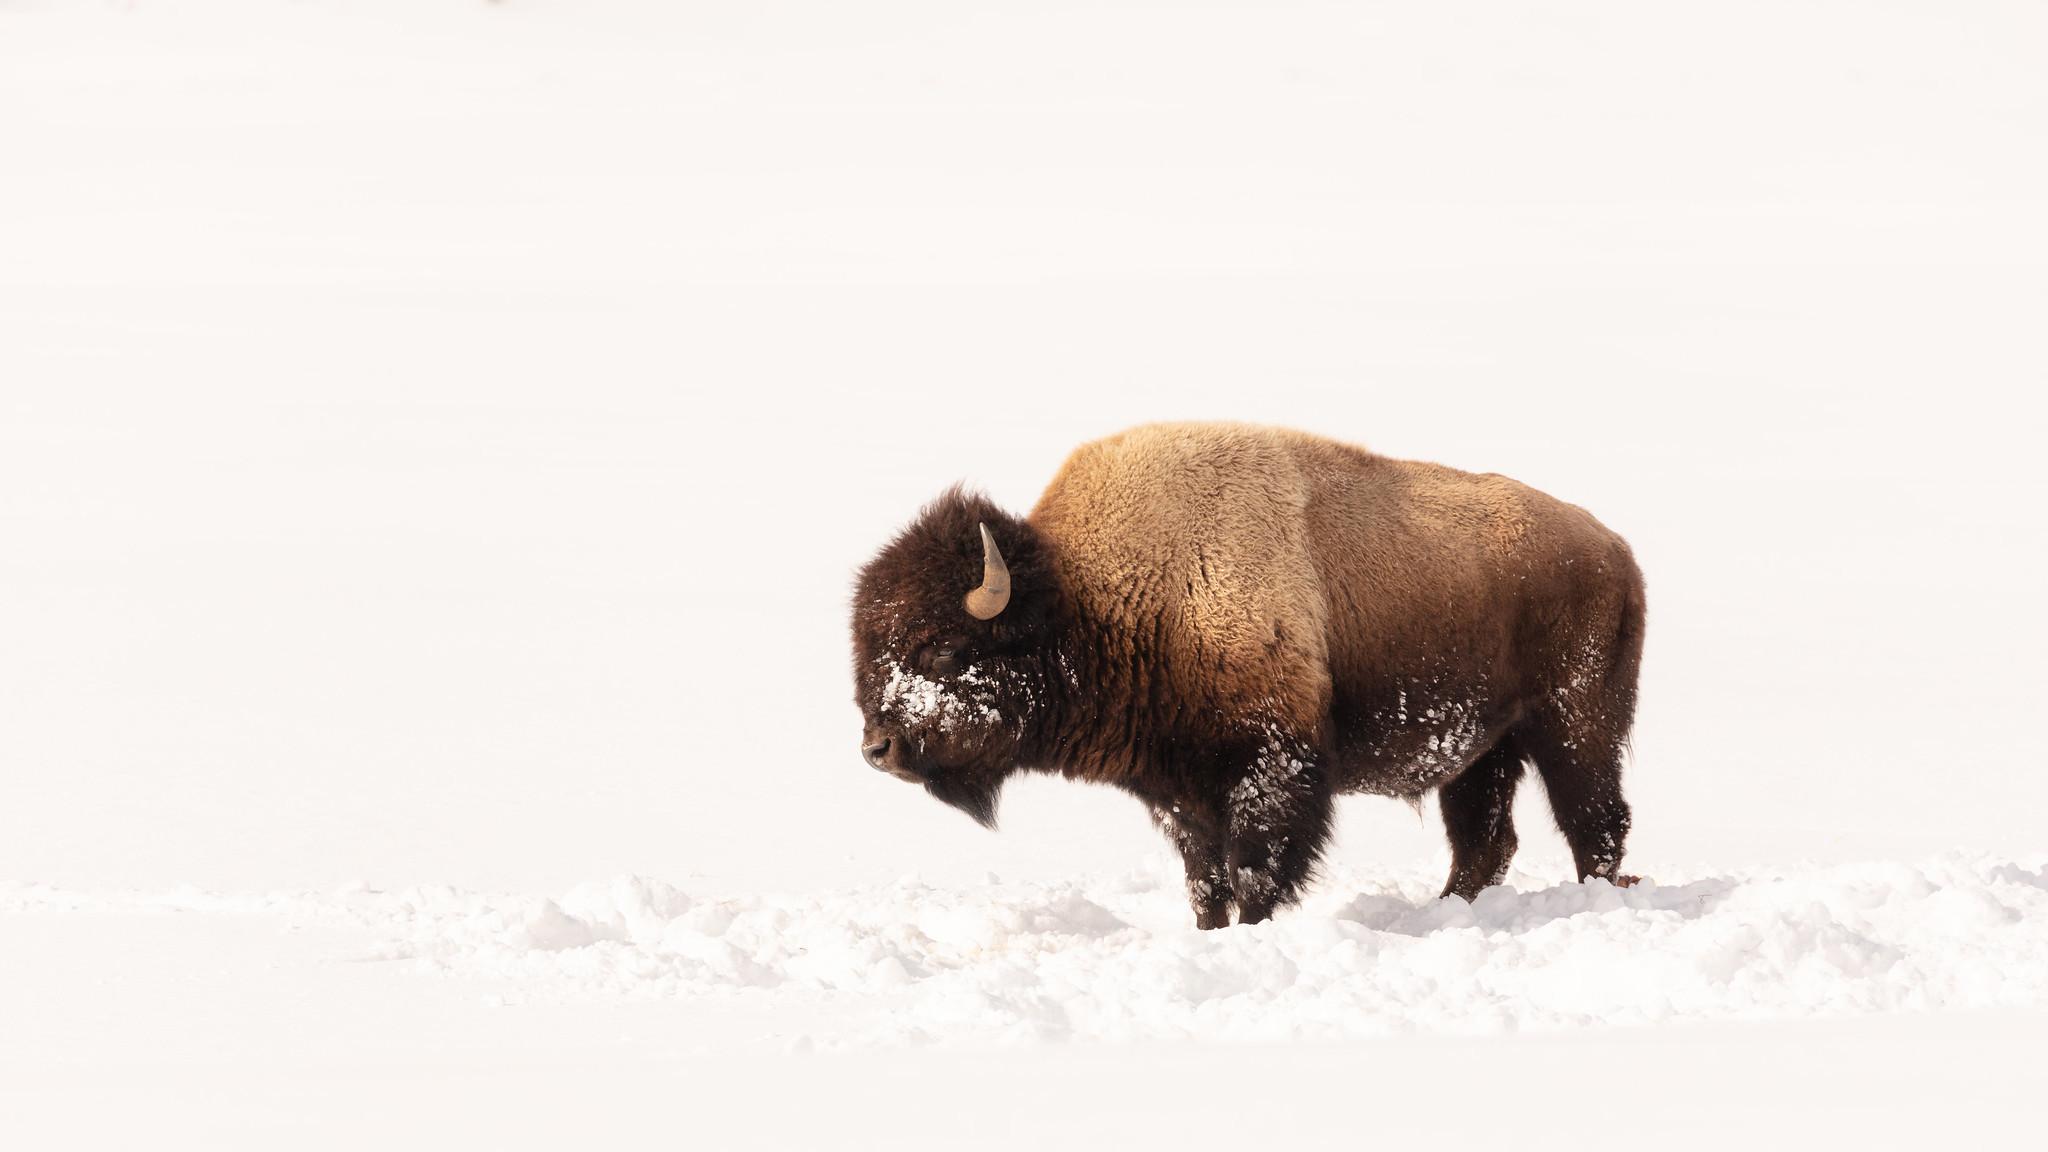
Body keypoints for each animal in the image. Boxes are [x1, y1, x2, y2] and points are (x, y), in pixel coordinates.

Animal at [851, 423, 1645, 928]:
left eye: (943, 652)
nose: (878, 749)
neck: (1096, 594)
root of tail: (1612, 547)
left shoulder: (1272, 767)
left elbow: (1254, 871)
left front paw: (1255, 929)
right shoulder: (1178, 792)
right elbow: (1204, 879)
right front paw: (1211, 933)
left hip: (1575, 725)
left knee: (1595, 823)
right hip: (1483, 752)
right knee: (1487, 841)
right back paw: (1448, 912)